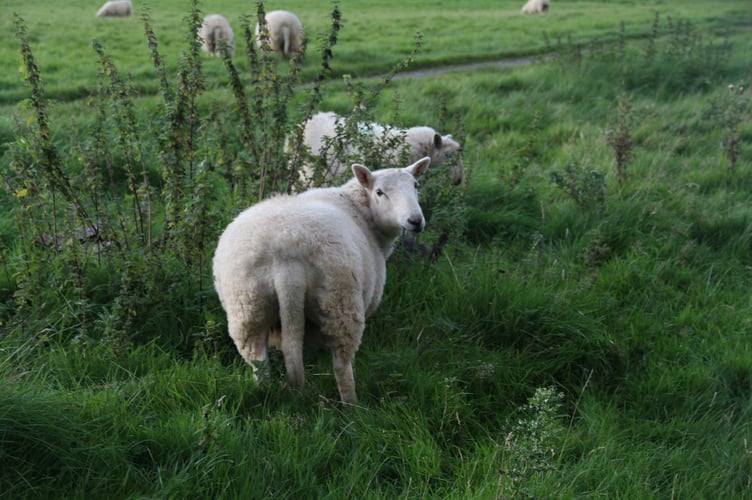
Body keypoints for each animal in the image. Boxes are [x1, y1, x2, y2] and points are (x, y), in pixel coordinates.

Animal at [212, 157, 431, 403]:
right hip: (340, 301)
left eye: (416, 185)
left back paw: (264, 392)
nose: (415, 221)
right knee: (342, 365)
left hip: (247, 305)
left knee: (258, 364)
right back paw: (353, 405)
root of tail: (286, 253)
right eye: (380, 192)